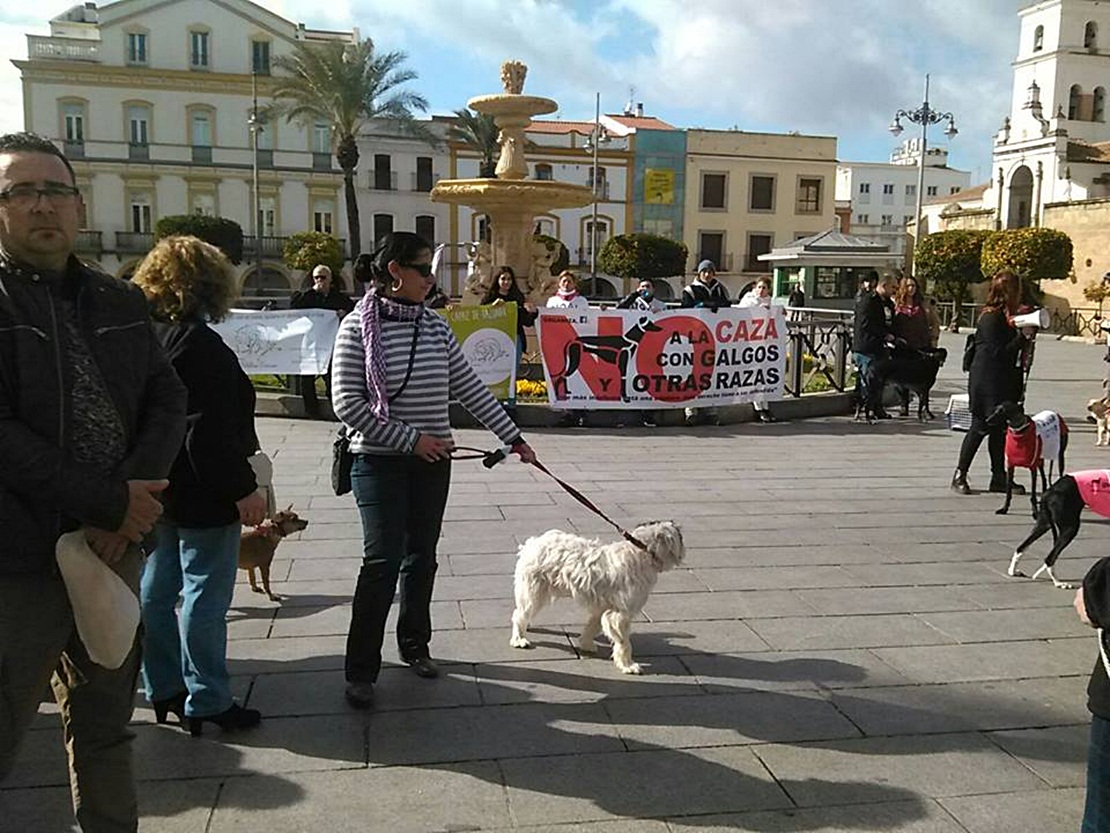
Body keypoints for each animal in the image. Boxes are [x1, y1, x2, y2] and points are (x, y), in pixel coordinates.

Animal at [510, 524, 683, 675]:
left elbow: (593, 626)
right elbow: (624, 643)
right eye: (679, 537)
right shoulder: (620, 615)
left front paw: (586, 644)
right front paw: (628, 665)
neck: (642, 552)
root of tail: (531, 544)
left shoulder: (602, 608)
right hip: (533, 592)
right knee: (519, 615)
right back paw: (519, 639)